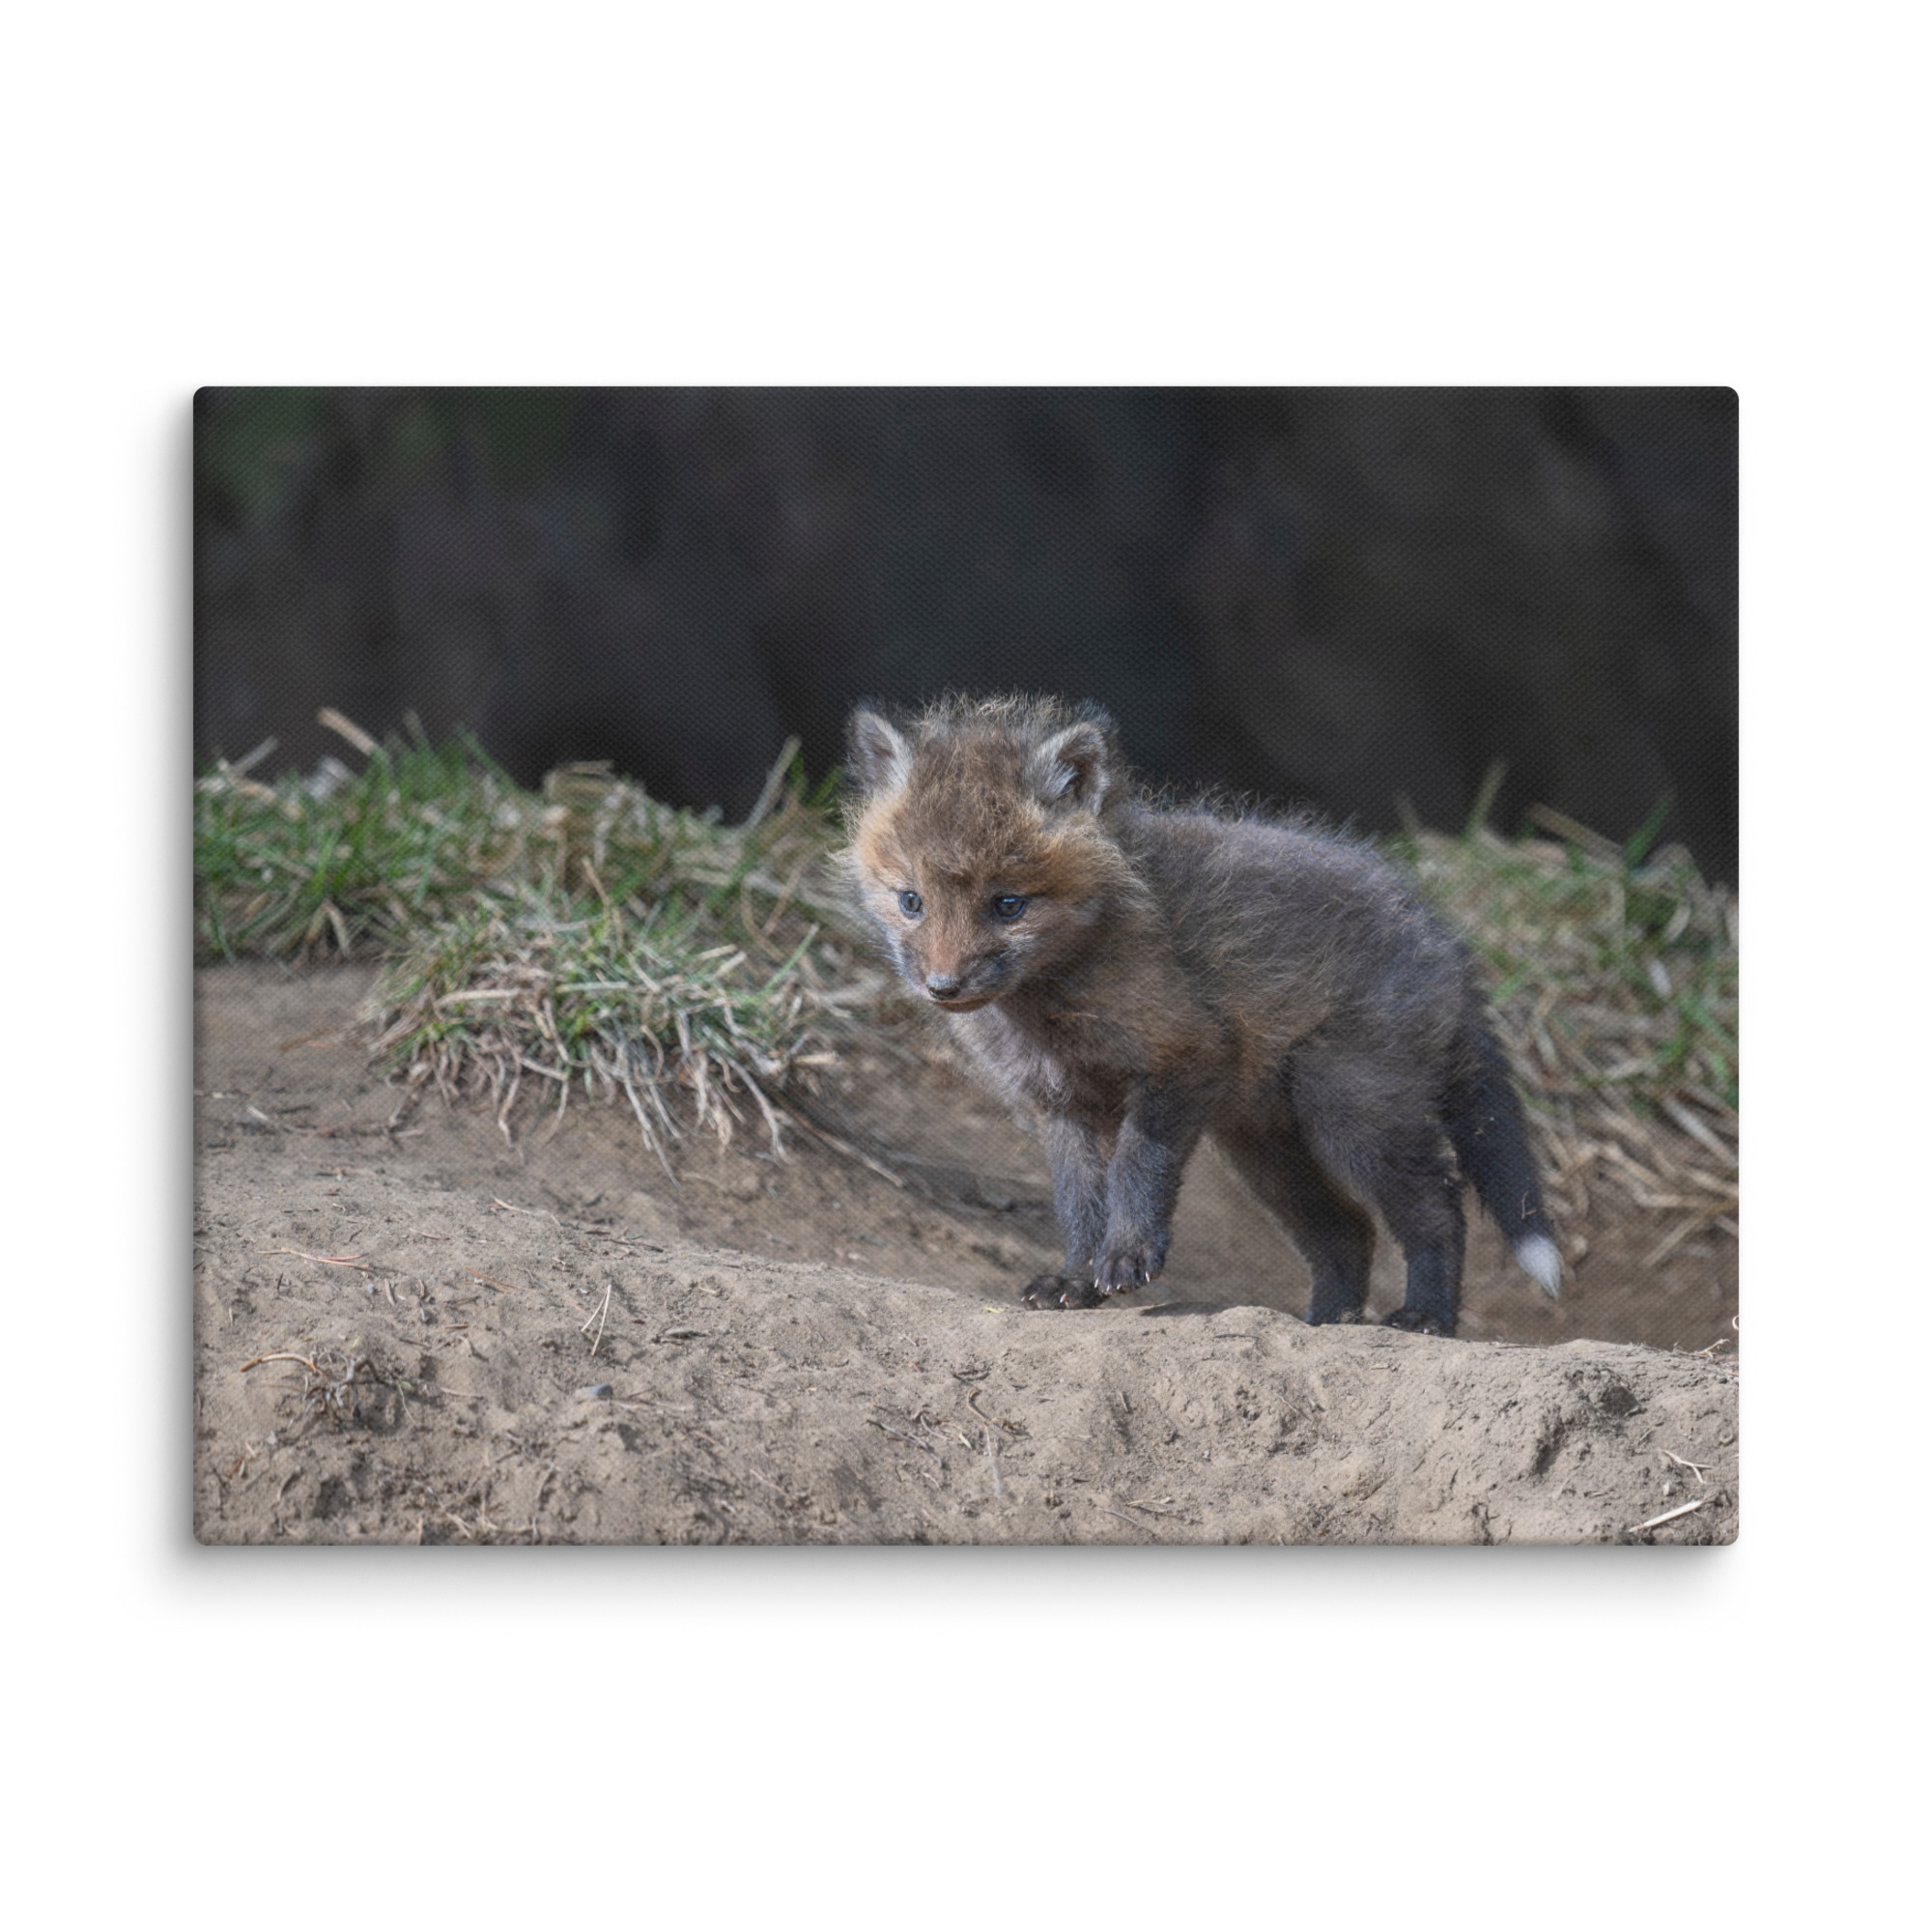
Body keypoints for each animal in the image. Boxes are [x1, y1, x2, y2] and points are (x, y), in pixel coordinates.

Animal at [841, 694, 1562, 1336]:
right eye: (911, 901)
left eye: (1008, 904)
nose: (943, 986)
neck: (1050, 1010)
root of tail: (1443, 936)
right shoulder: (1062, 1104)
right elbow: (1079, 1203)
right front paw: (1075, 1279)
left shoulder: (1182, 1057)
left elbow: (1136, 1169)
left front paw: (1127, 1256)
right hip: (1266, 1148)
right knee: (1348, 1231)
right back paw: (1327, 1322)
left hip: (1350, 1112)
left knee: (1439, 1207)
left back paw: (1426, 1317)